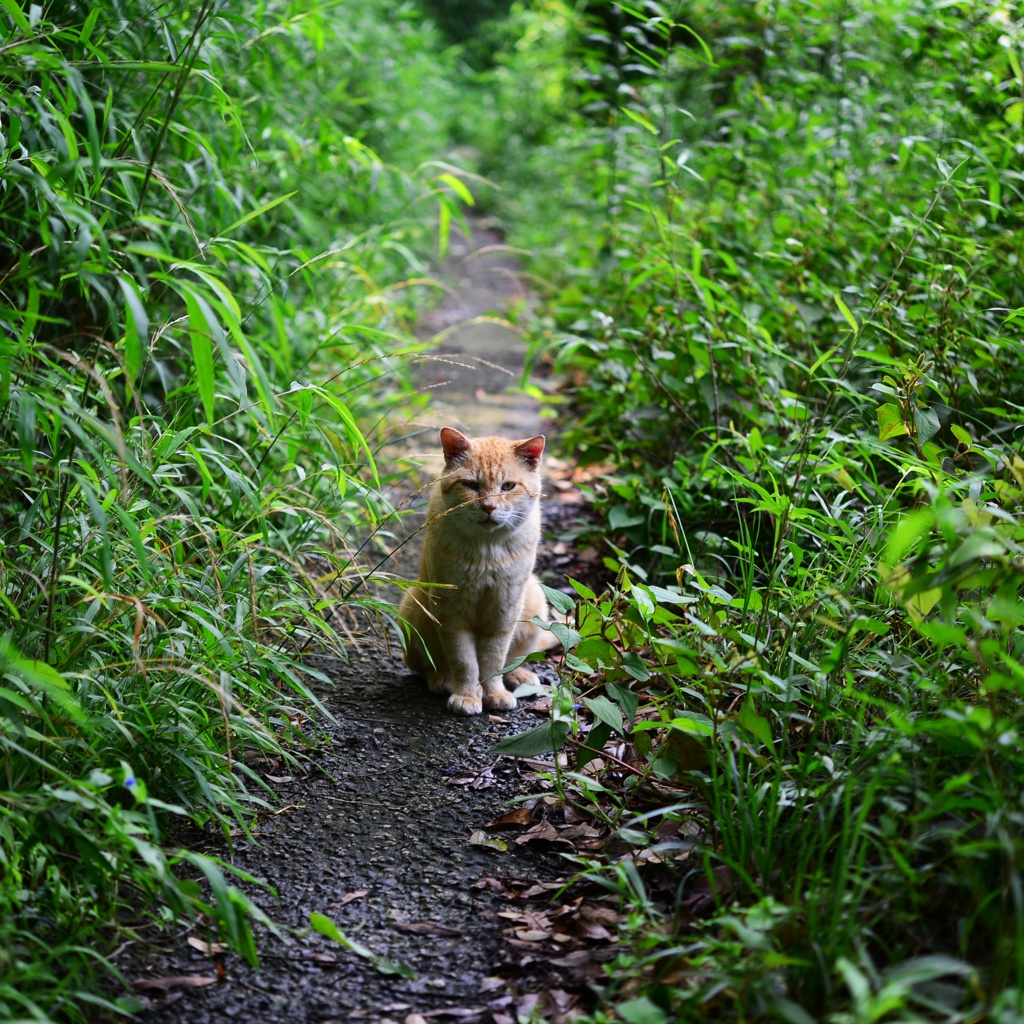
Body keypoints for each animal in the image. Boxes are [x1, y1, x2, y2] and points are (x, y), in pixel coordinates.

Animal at [397, 428, 552, 716]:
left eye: (507, 487)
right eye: (471, 485)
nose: (488, 506)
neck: (486, 553)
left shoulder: (503, 611)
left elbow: (494, 660)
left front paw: (495, 693)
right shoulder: (452, 612)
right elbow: (465, 661)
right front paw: (467, 696)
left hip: (535, 599)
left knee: (514, 660)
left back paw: (519, 676)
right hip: (414, 604)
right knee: (423, 667)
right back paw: (443, 680)